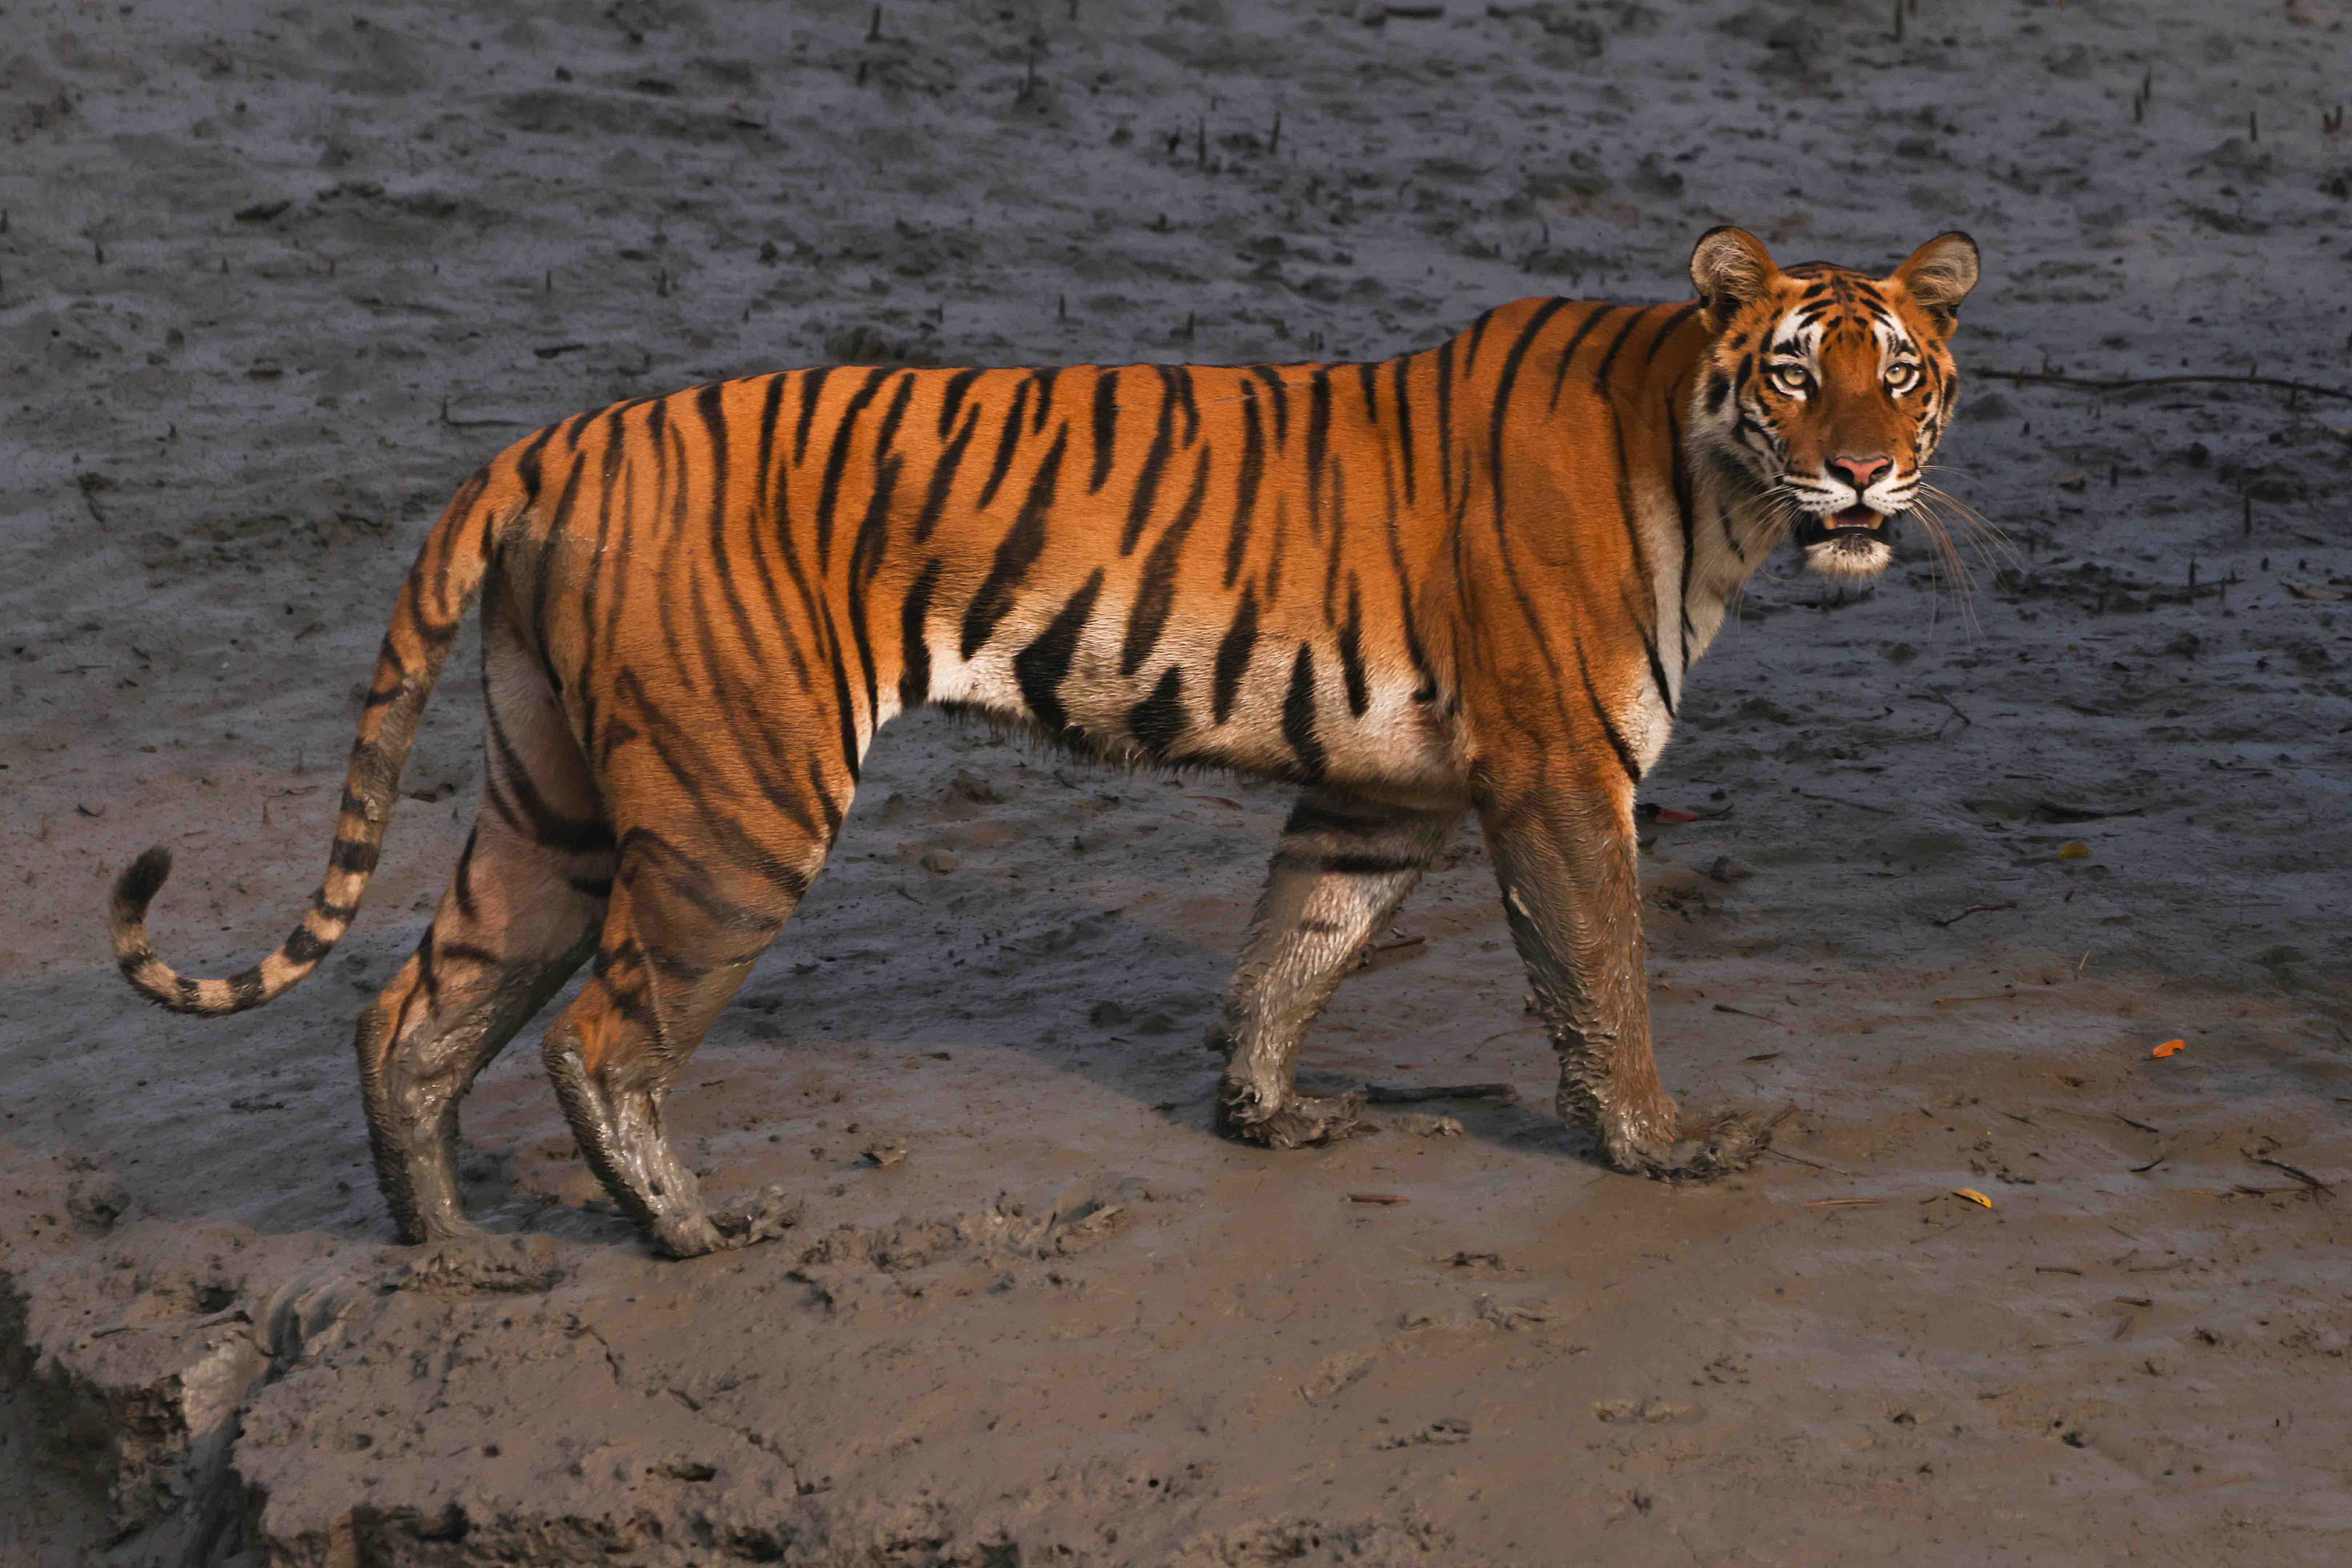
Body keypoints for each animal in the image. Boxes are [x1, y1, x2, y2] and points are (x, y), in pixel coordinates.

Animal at [108, 225, 1981, 1259]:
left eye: (1902, 372)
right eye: (1797, 374)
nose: (1867, 474)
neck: (1709, 471)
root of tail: (556, 437)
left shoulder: (1380, 794)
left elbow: (1292, 948)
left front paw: (1260, 1115)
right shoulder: (1560, 776)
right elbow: (1600, 976)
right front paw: (1659, 1147)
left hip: (547, 806)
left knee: (413, 1016)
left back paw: (450, 1256)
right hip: (735, 814)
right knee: (597, 1041)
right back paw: (692, 1232)